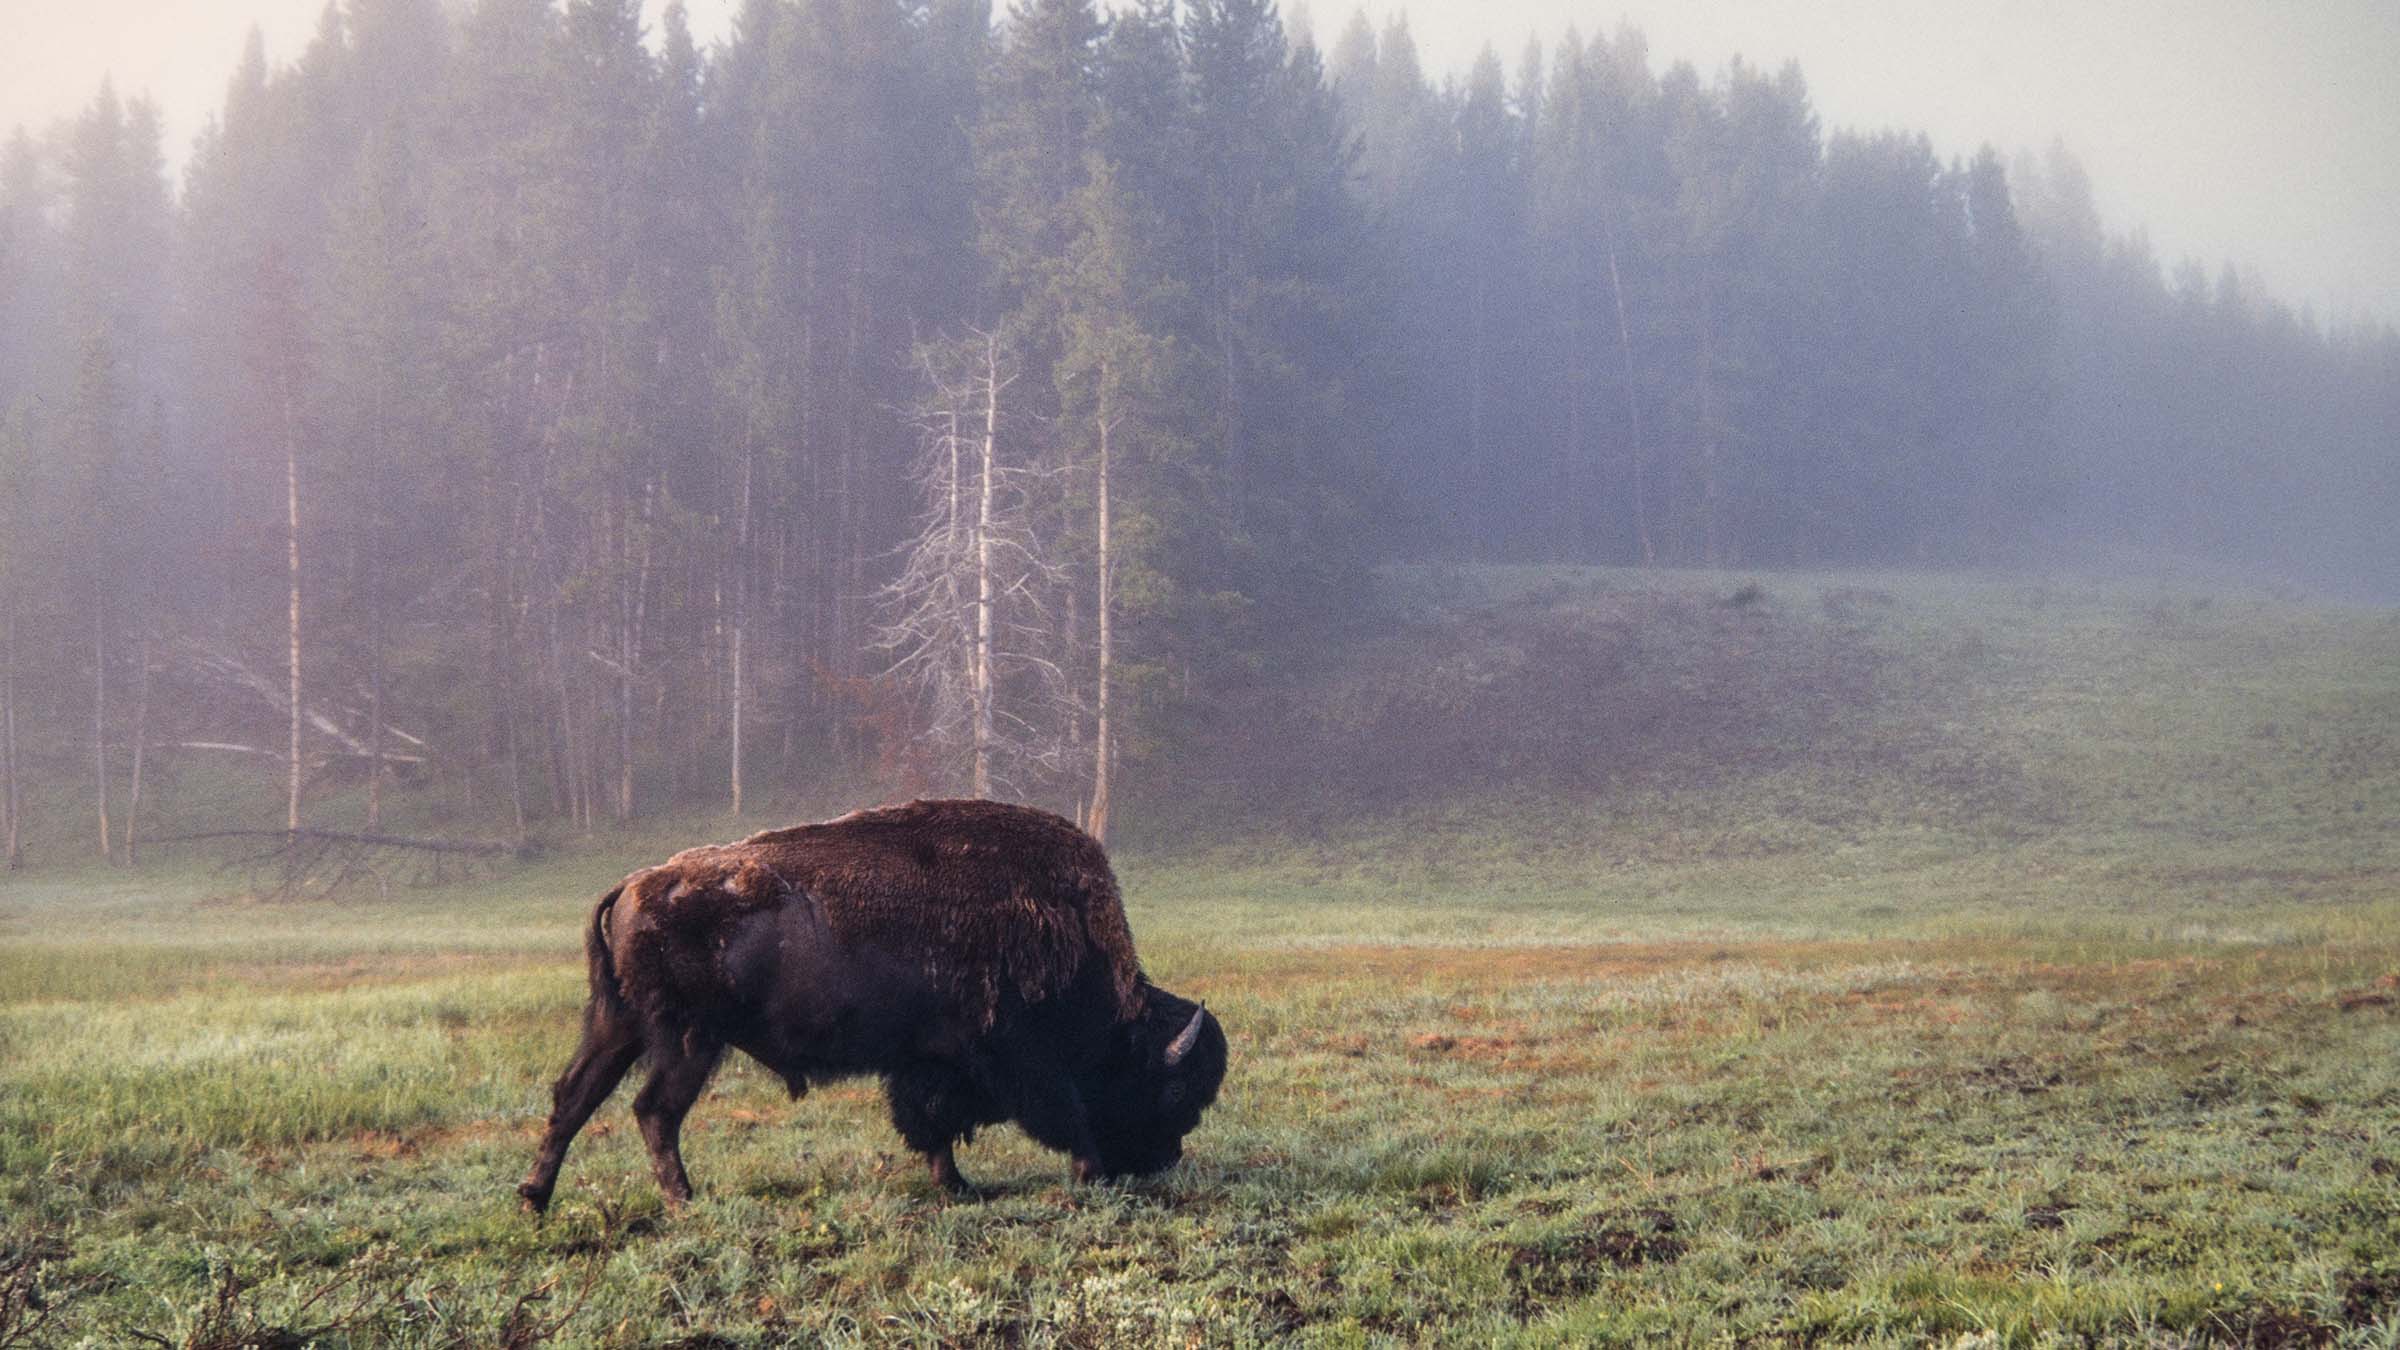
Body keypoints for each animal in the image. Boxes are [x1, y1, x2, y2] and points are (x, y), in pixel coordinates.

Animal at [515, 798, 1227, 1212]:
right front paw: (1089, 1173)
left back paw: (534, 1197)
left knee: (575, 1097)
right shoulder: (1019, 1061)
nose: (1163, 1159)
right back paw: (685, 1200)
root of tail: (635, 883)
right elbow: (1061, 1115)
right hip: (689, 1040)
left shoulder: (928, 1062)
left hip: (618, 1026)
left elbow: (931, 1125)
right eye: (1171, 1091)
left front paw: (955, 1186)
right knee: (653, 1110)